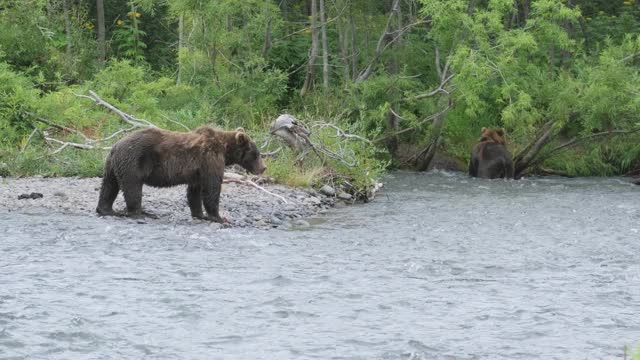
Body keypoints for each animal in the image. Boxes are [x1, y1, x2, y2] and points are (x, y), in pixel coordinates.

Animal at [95, 126, 264, 222]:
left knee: (109, 186)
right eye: (256, 154)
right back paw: (140, 213)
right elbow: (212, 187)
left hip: (113, 165)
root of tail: (115, 145)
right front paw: (219, 217)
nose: (263, 168)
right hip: (133, 161)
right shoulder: (210, 159)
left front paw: (200, 214)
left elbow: (195, 191)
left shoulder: (198, 170)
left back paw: (108, 210)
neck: (225, 149)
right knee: (132, 188)